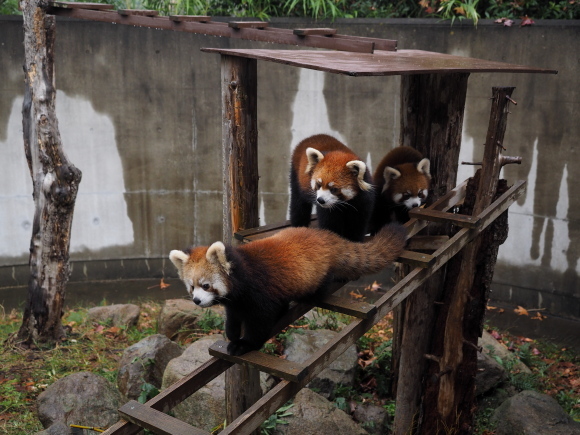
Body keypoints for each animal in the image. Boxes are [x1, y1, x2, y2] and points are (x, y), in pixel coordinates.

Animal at [169, 223, 408, 356]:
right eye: (192, 287)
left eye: (206, 285)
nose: (196, 301)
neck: (243, 273)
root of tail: (325, 236)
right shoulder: (236, 301)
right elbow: (234, 317)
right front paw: (232, 334)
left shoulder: (259, 294)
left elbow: (260, 322)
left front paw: (245, 344)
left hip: (317, 274)